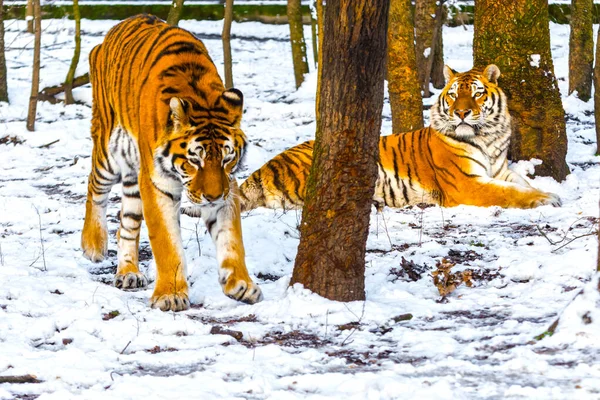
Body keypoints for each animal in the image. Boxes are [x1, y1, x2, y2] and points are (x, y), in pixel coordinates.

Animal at [80, 15, 262, 310]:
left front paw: (241, 284)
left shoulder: (227, 186)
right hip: (109, 149)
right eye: (194, 159)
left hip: (133, 173)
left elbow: (231, 238)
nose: (212, 197)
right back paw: (93, 244)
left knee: (127, 223)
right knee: (94, 185)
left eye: (227, 158)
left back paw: (128, 273)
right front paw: (171, 294)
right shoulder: (157, 183)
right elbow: (167, 243)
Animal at [184, 63, 564, 214]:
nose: (461, 114)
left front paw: (549, 193)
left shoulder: (499, 169)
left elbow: (521, 183)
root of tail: (263, 169)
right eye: (455, 95)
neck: (487, 137)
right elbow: (510, 194)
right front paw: (547, 199)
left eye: (477, 94)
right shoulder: (468, 184)